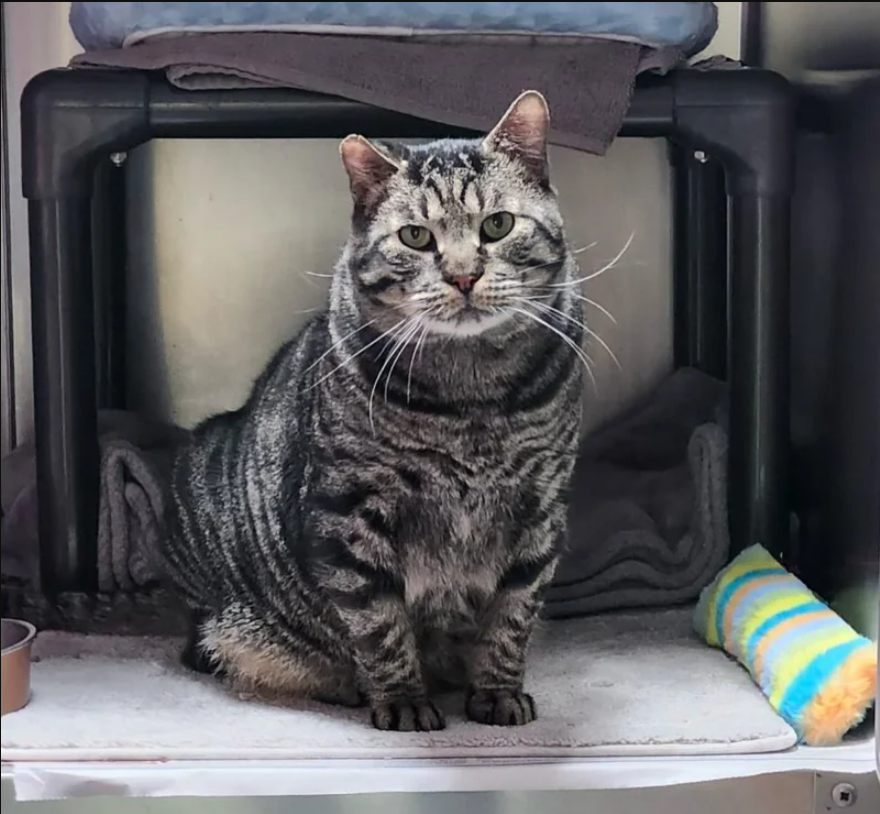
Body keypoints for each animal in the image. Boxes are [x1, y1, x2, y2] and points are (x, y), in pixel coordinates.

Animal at [162, 91, 588, 732]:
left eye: (498, 225)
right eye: (415, 237)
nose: (464, 275)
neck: (473, 401)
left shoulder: (542, 510)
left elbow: (512, 617)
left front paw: (497, 693)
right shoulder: (349, 516)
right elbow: (379, 625)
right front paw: (404, 701)